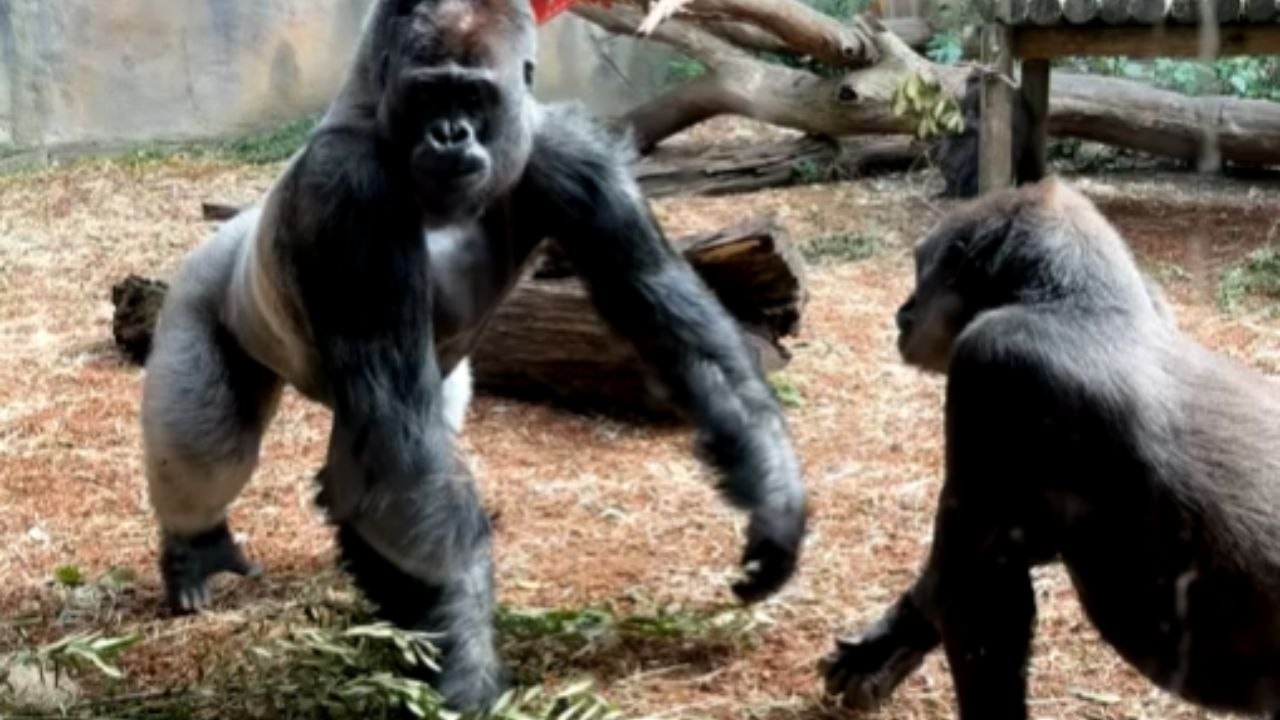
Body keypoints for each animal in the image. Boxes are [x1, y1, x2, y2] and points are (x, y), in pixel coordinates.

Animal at [141, 0, 806, 710]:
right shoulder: (347, 190)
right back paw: (193, 545)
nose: (450, 135)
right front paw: (466, 665)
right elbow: (398, 447)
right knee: (211, 445)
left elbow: (669, 316)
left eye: (473, 97)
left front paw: (775, 497)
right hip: (202, 286)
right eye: (429, 94)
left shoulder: (573, 153)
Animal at [820, 177, 1280, 719]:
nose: (904, 313)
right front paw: (884, 646)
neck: (1080, 301)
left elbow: (977, 595)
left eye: (922, 269)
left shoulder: (994, 364)